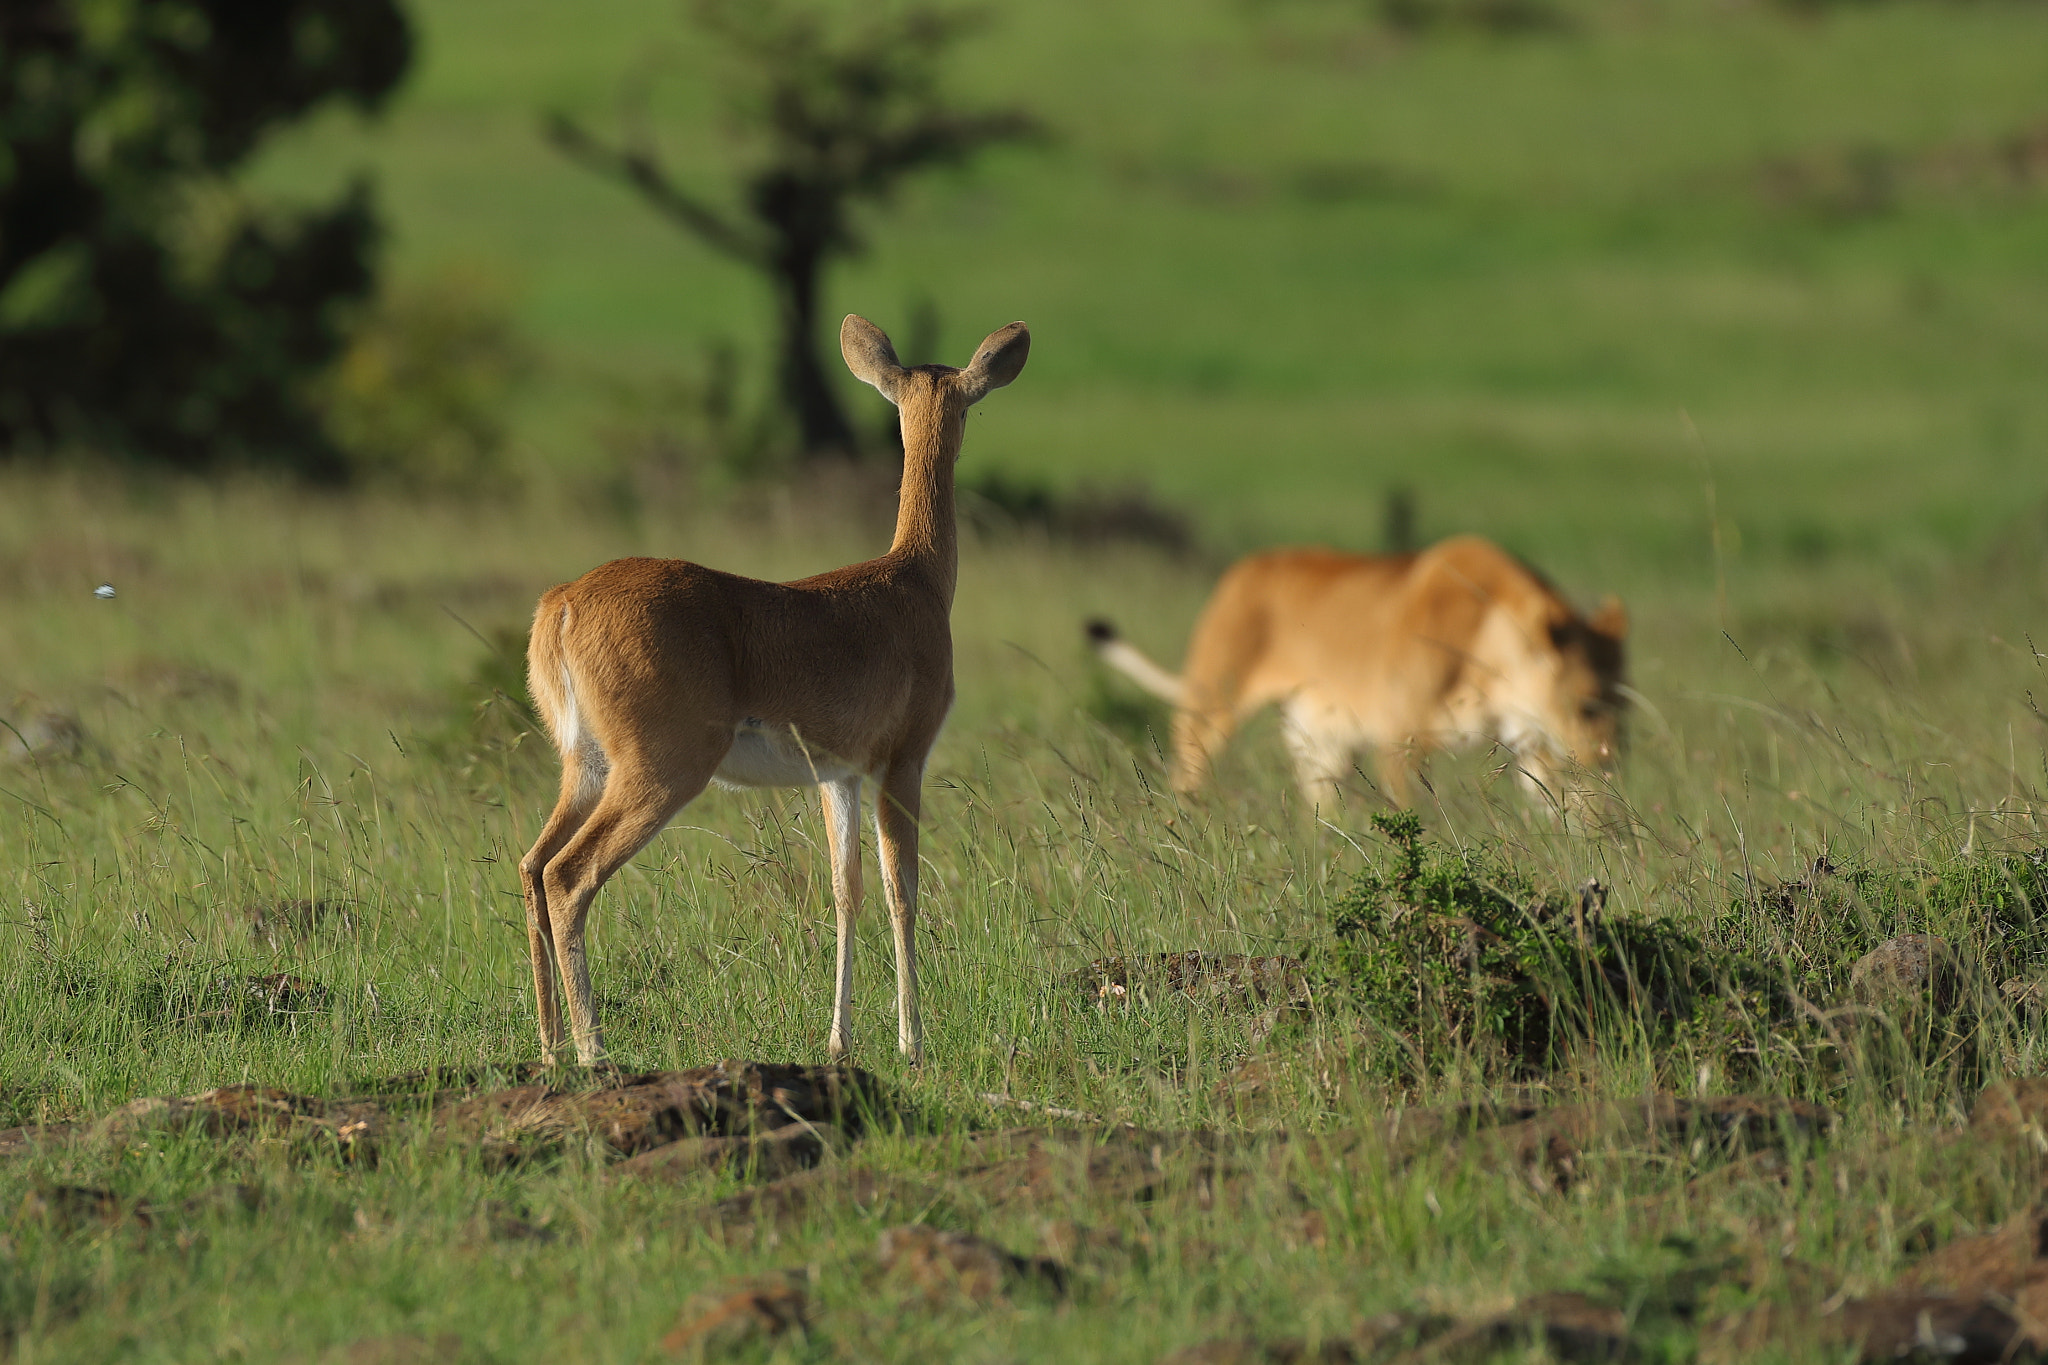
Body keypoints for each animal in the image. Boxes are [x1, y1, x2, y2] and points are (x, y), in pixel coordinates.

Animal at [512, 315, 1024, 1064]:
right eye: (966, 404)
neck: (915, 580)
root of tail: (563, 603)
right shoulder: (905, 756)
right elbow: (903, 888)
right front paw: (912, 1041)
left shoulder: (839, 772)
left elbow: (845, 890)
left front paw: (840, 1041)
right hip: (662, 768)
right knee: (567, 876)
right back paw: (593, 1050)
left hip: (585, 765)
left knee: (531, 864)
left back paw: (552, 1047)